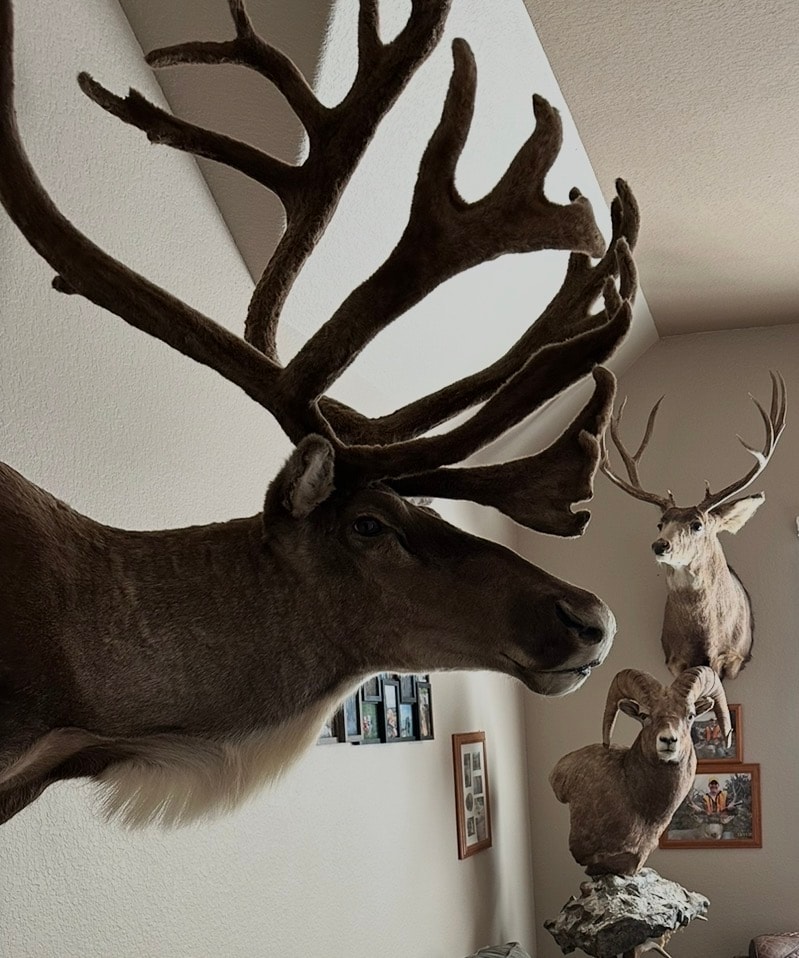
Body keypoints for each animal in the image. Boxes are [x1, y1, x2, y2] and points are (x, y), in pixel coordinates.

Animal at [600, 373, 786, 681]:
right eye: (660, 523)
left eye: (697, 524)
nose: (659, 545)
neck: (708, 641)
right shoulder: (676, 659)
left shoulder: (733, 657)